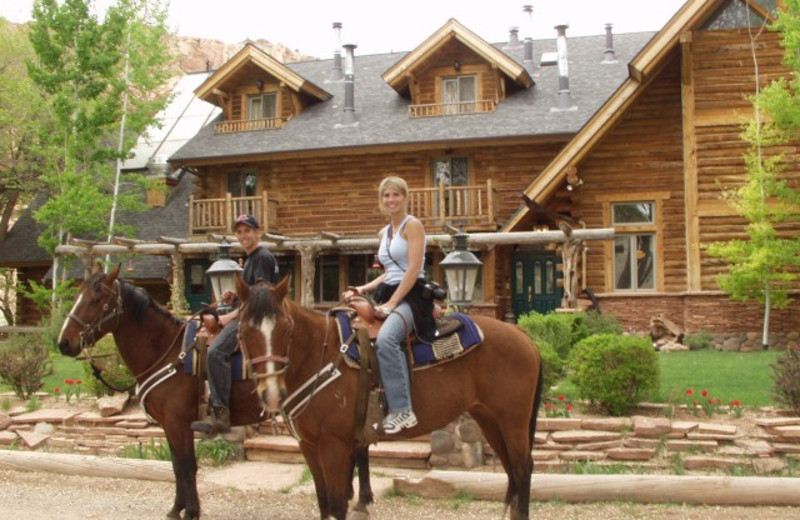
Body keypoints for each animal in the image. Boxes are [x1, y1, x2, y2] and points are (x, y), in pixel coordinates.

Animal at [57, 268, 268, 520]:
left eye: (95, 300)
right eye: (77, 295)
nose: (63, 343)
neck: (168, 353)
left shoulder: (179, 424)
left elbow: (188, 466)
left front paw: (191, 512)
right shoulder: (169, 425)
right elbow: (176, 466)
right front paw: (177, 509)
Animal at [234, 276, 540, 520]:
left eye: (286, 328)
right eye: (244, 331)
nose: (272, 394)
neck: (321, 354)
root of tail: (523, 335)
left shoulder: (334, 446)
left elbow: (336, 504)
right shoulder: (309, 446)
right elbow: (323, 503)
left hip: (513, 421)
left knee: (522, 470)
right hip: (489, 419)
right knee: (511, 471)